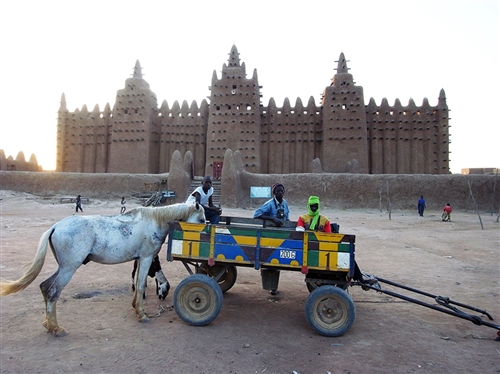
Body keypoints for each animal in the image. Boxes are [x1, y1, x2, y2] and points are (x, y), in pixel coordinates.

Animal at [0, 203, 205, 338]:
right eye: (202, 219)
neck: (154, 221)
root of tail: (56, 226)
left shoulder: (140, 260)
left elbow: (138, 283)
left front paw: (135, 308)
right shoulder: (147, 258)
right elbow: (140, 285)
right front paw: (142, 314)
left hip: (63, 268)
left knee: (44, 286)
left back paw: (49, 324)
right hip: (68, 269)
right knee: (52, 291)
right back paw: (56, 328)